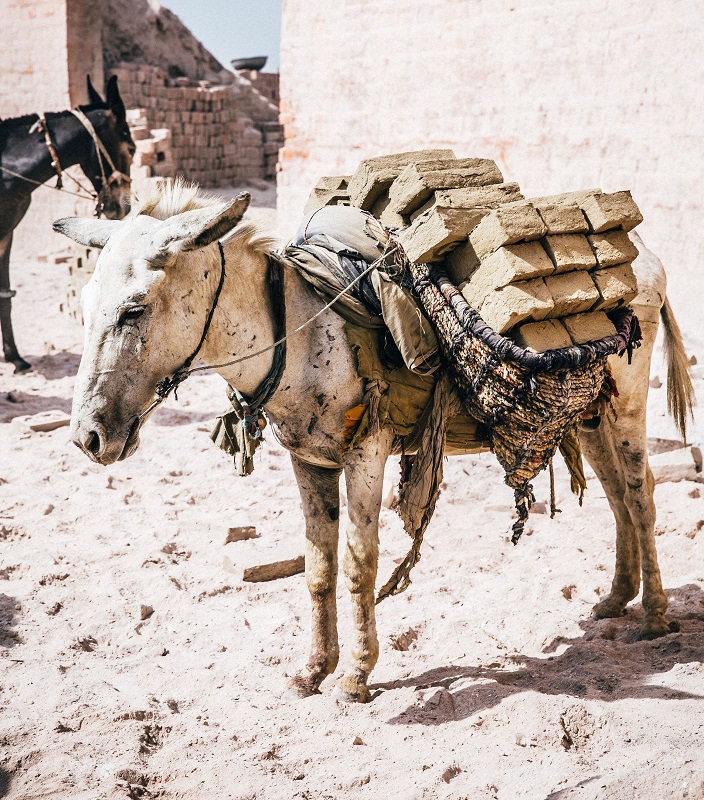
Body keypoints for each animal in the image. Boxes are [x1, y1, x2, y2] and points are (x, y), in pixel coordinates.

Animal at [53, 181, 694, 703]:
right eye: (82, 308)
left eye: (134, 310)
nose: (88, 438)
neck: (300, 332)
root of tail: (649, 255)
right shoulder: (308, 461)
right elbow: (318, 569)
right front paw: (312, 670)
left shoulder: (367, 453)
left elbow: (360, 564)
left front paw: (355, 676)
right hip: (588, 416)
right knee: (616, 496)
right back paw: (616, 597)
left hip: (626, 408)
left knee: (640, 495)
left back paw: (654, 616)